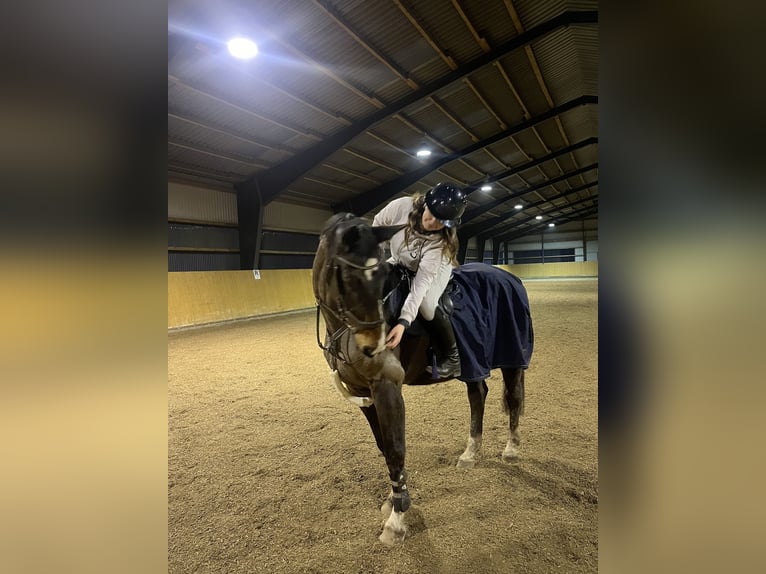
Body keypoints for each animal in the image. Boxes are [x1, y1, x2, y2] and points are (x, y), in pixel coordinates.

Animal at [312, 212, 533, 545]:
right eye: (349, 278)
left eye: (381, 279)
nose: (375, 345)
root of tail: (511, 278)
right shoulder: (364, 393)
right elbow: (383, 446)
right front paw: (393, 499)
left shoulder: (387, 388)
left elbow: (395, 448)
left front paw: (397, 519)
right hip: (473, 363)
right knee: (478, 394)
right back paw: (470, 453)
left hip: (511, 357)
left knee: (514, 397)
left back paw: (511, 449)